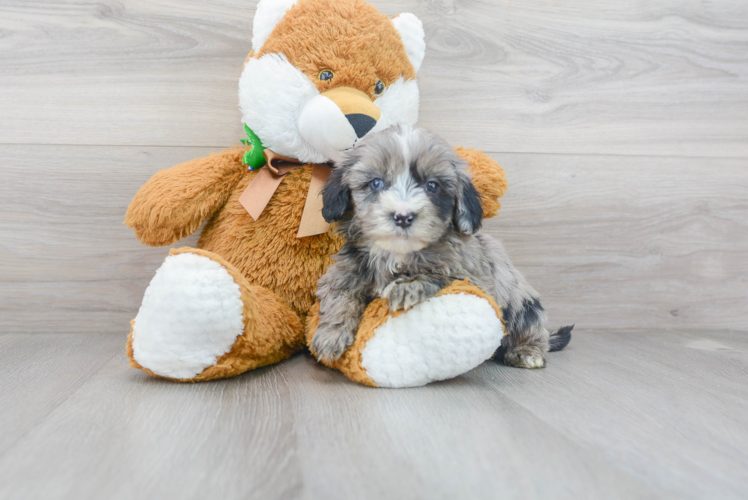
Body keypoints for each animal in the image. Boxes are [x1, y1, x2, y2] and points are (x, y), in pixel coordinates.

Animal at [312, 125, 572, 368]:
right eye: (376, 183)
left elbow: (438, 274)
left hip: (525, 306)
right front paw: (331, 334)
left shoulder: (471, 278)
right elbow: (340, 293)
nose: (403, 216)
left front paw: (407, 285)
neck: (397, 253)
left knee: (532, 330)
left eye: (432, 186)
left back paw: (527, 352)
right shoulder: (346, 270)